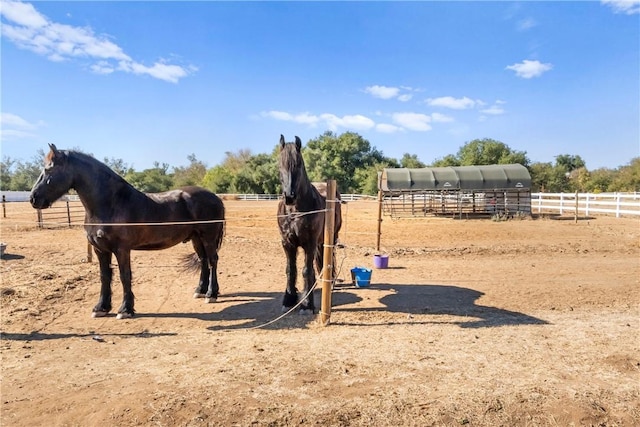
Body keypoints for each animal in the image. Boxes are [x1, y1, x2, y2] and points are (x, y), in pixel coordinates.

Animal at [30, 145, 225, 320]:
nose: (33, 198)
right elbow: (105, 276)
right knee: (203, 260)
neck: (111, 203)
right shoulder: (100, 250)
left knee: (213, 261)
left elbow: (125, 276)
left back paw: (211, 294)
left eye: (49, 169)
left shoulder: (122, 249)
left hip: (208, 238)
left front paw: (125, 310)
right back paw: (200, 291)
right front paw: (101, 308)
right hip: (196, 238)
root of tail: (215, 197)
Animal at [278, 136, 342, 314]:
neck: (295, 211)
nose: (289, 196)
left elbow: (306, 271)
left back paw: (330, 281)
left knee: (330, 256)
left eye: (298, 164)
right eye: (280, 165)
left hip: (331, 238)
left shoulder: (309, 243)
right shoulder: (287, 243)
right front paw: (289, 299)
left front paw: (306, 305)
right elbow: (290, 270)